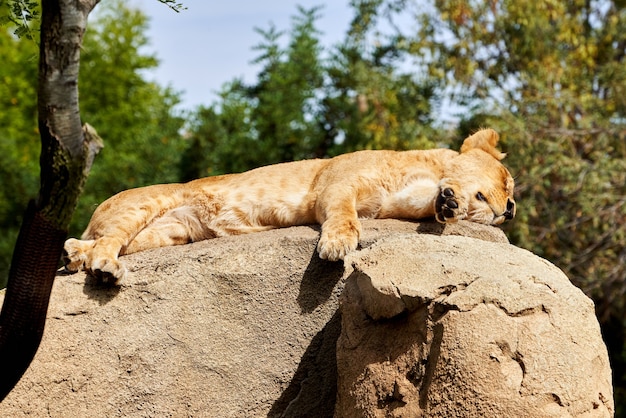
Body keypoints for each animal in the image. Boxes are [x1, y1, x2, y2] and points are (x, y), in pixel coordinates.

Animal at [63, 128, 516, 284]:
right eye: (507, 182)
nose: (510, 209)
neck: (426, 171)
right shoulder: (335, 184)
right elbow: (344, 216)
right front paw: (336, 246)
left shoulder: (394, 201)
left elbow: (419, 205)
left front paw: (448, 206)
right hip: (146, 205)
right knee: (110, 241)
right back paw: (104, 268)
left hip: (170, 232)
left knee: (98, 242)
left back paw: (76, 257)